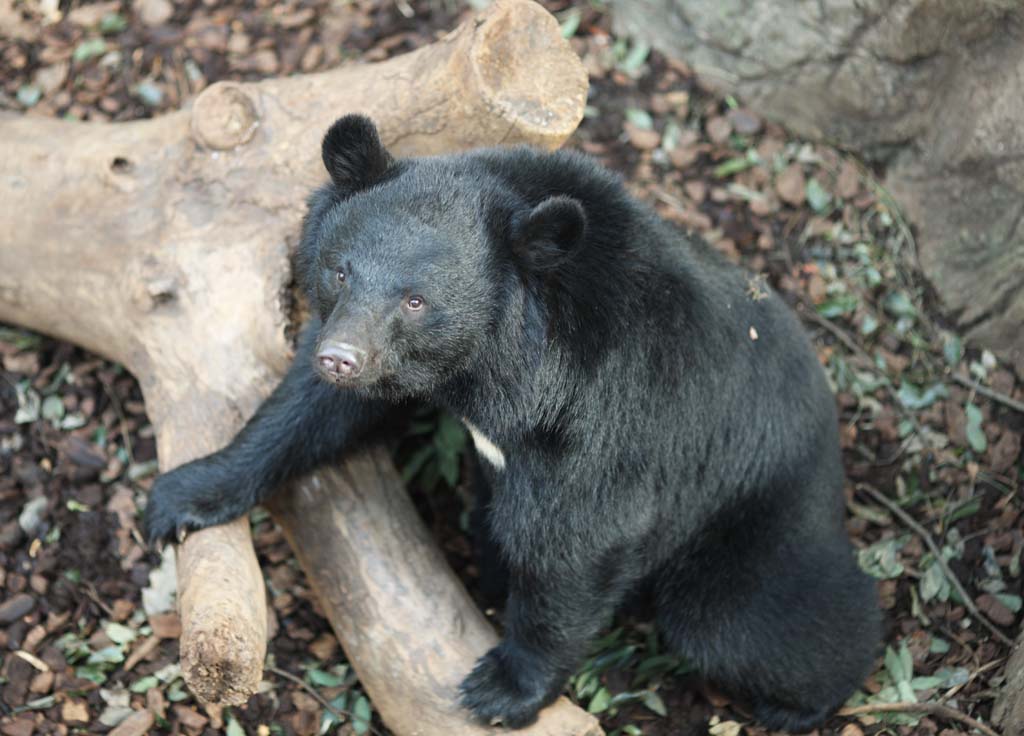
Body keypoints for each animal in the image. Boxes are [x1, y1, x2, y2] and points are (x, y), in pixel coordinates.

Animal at [144, 113, 880, 732]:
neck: (492, 367)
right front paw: (179, 498)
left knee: (745, 619)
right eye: (340, 270)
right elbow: (310, 412)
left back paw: (798, 703)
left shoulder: (607, 413)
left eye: (415, 301)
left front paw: (501, 688)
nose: (340, 358)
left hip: (755, 510)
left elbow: (579, 538)